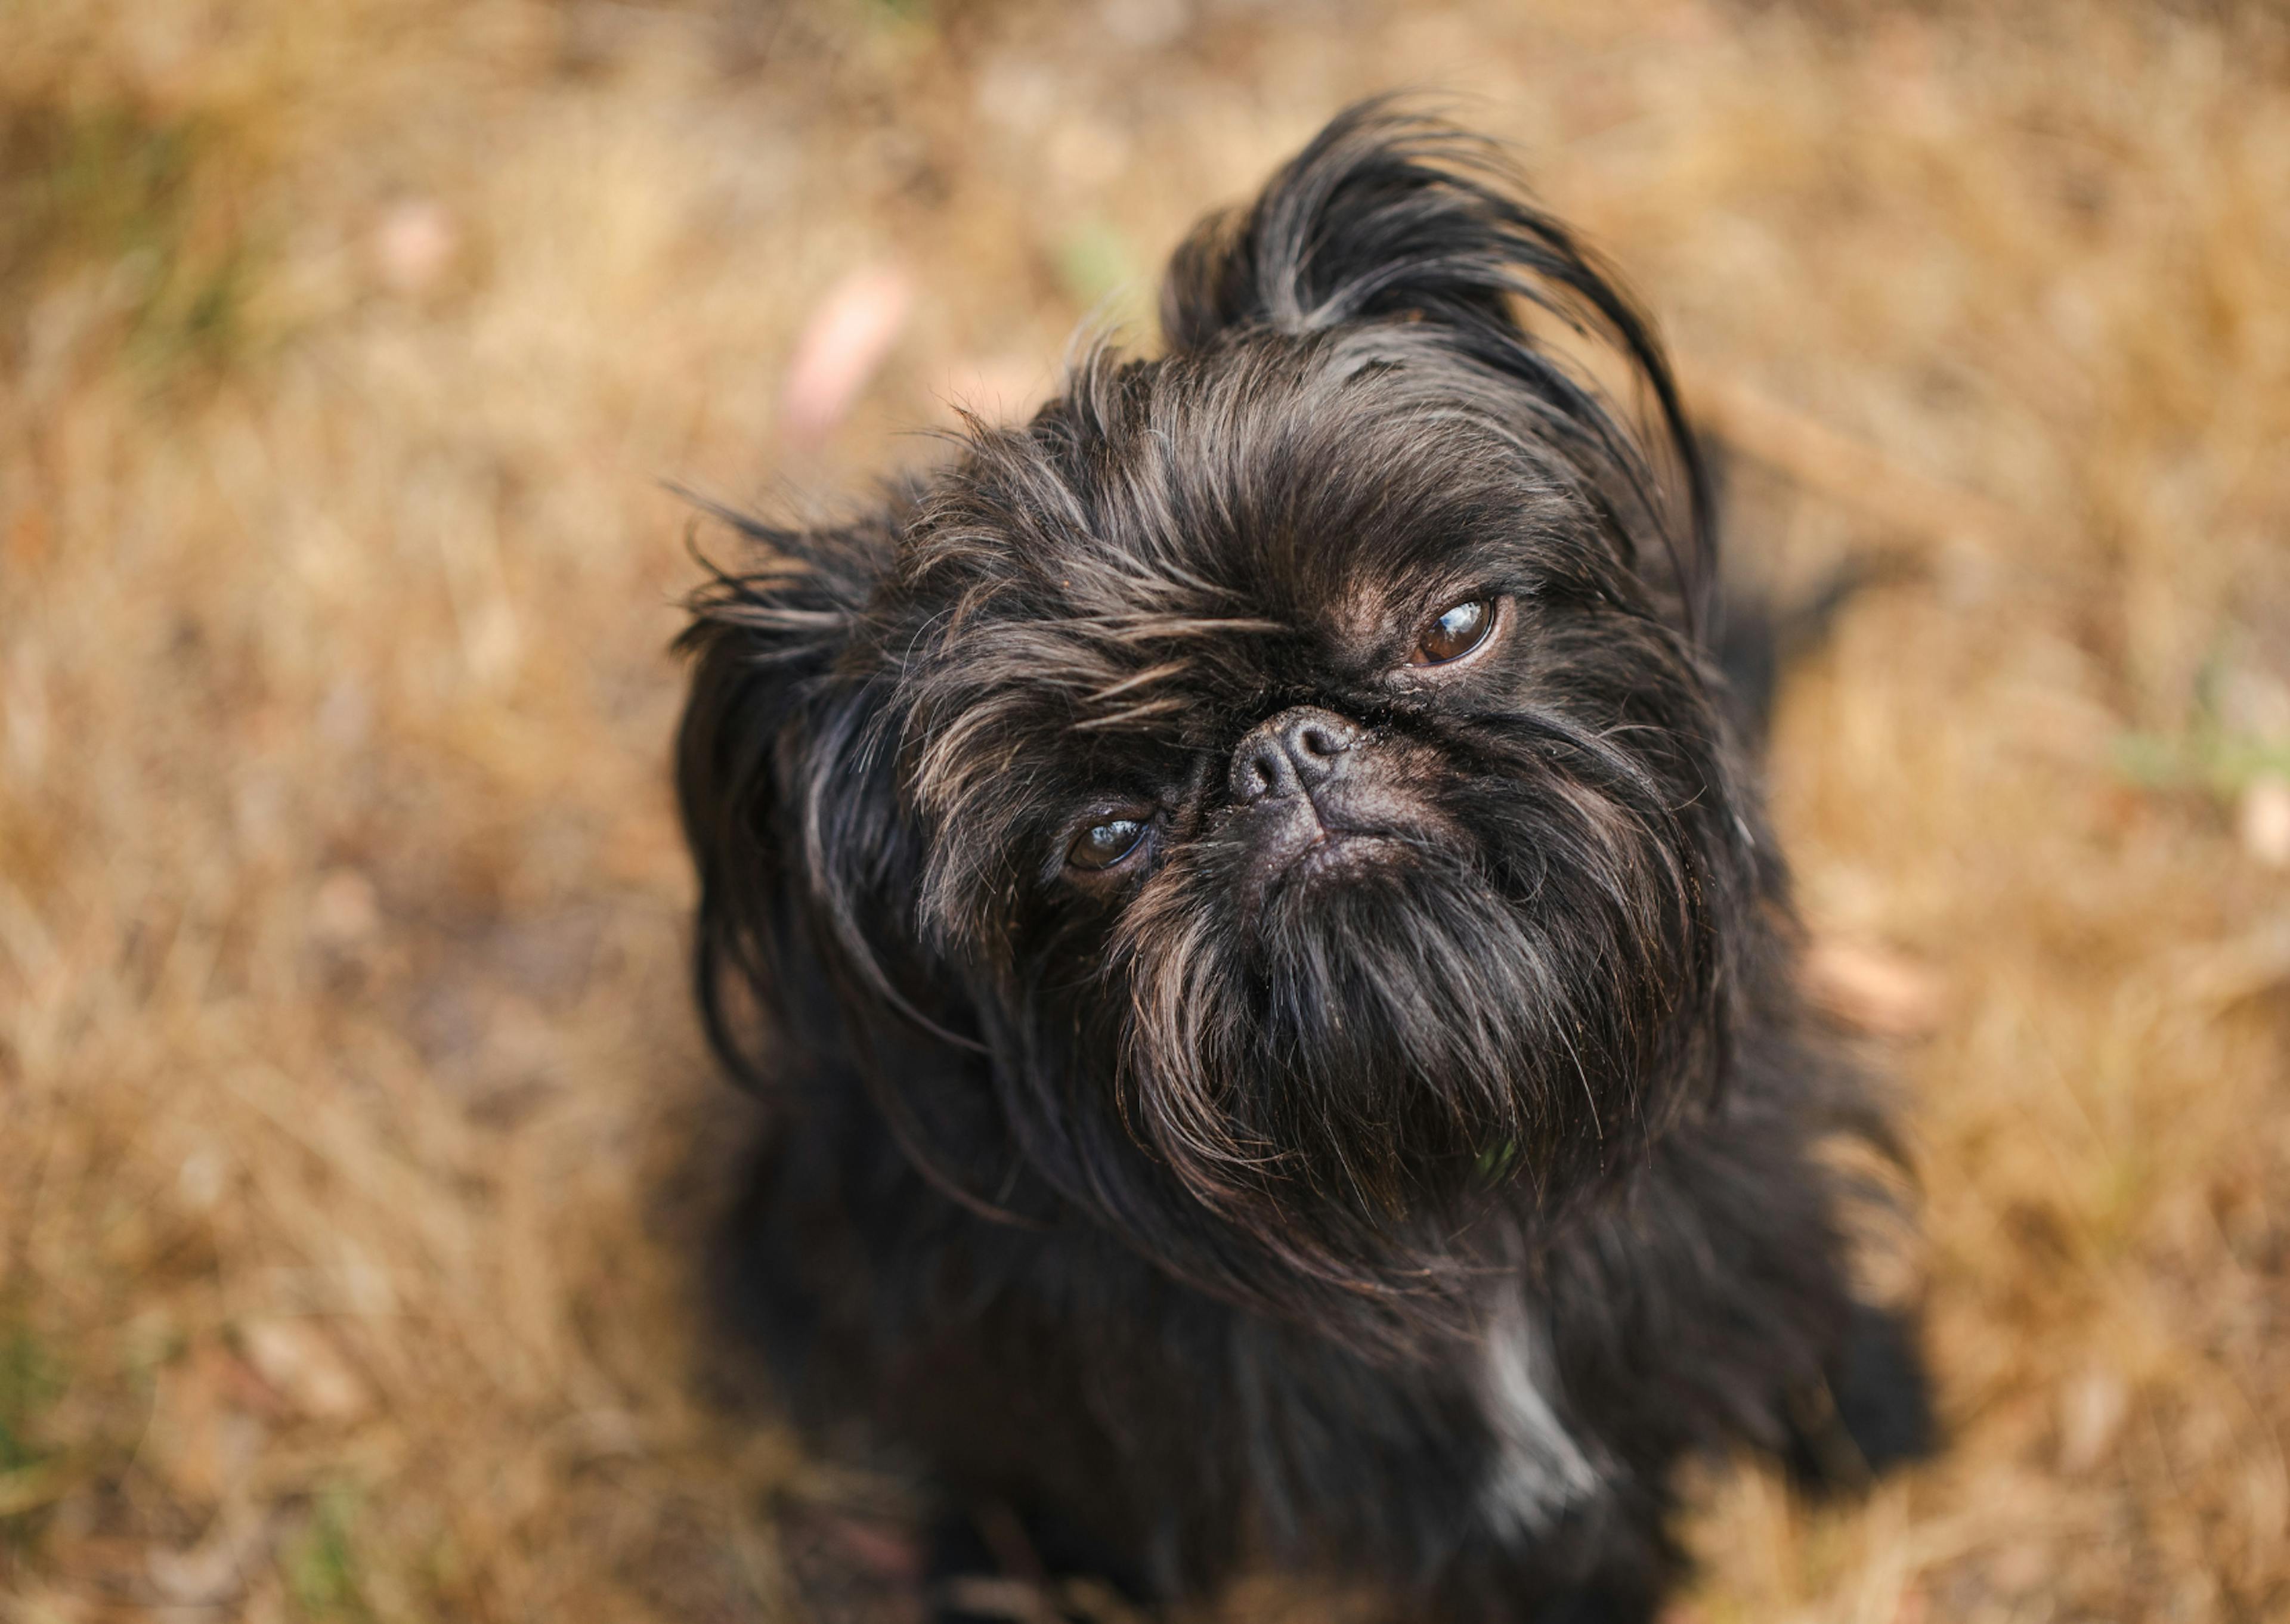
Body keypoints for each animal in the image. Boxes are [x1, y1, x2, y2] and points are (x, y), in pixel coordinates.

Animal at [677, 107, 1932, 1612]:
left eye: (1451, 627)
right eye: (1103, 838)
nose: (1285, 752)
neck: (1440, 1175)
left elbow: (1784, 1278)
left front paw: (1859, 1397)